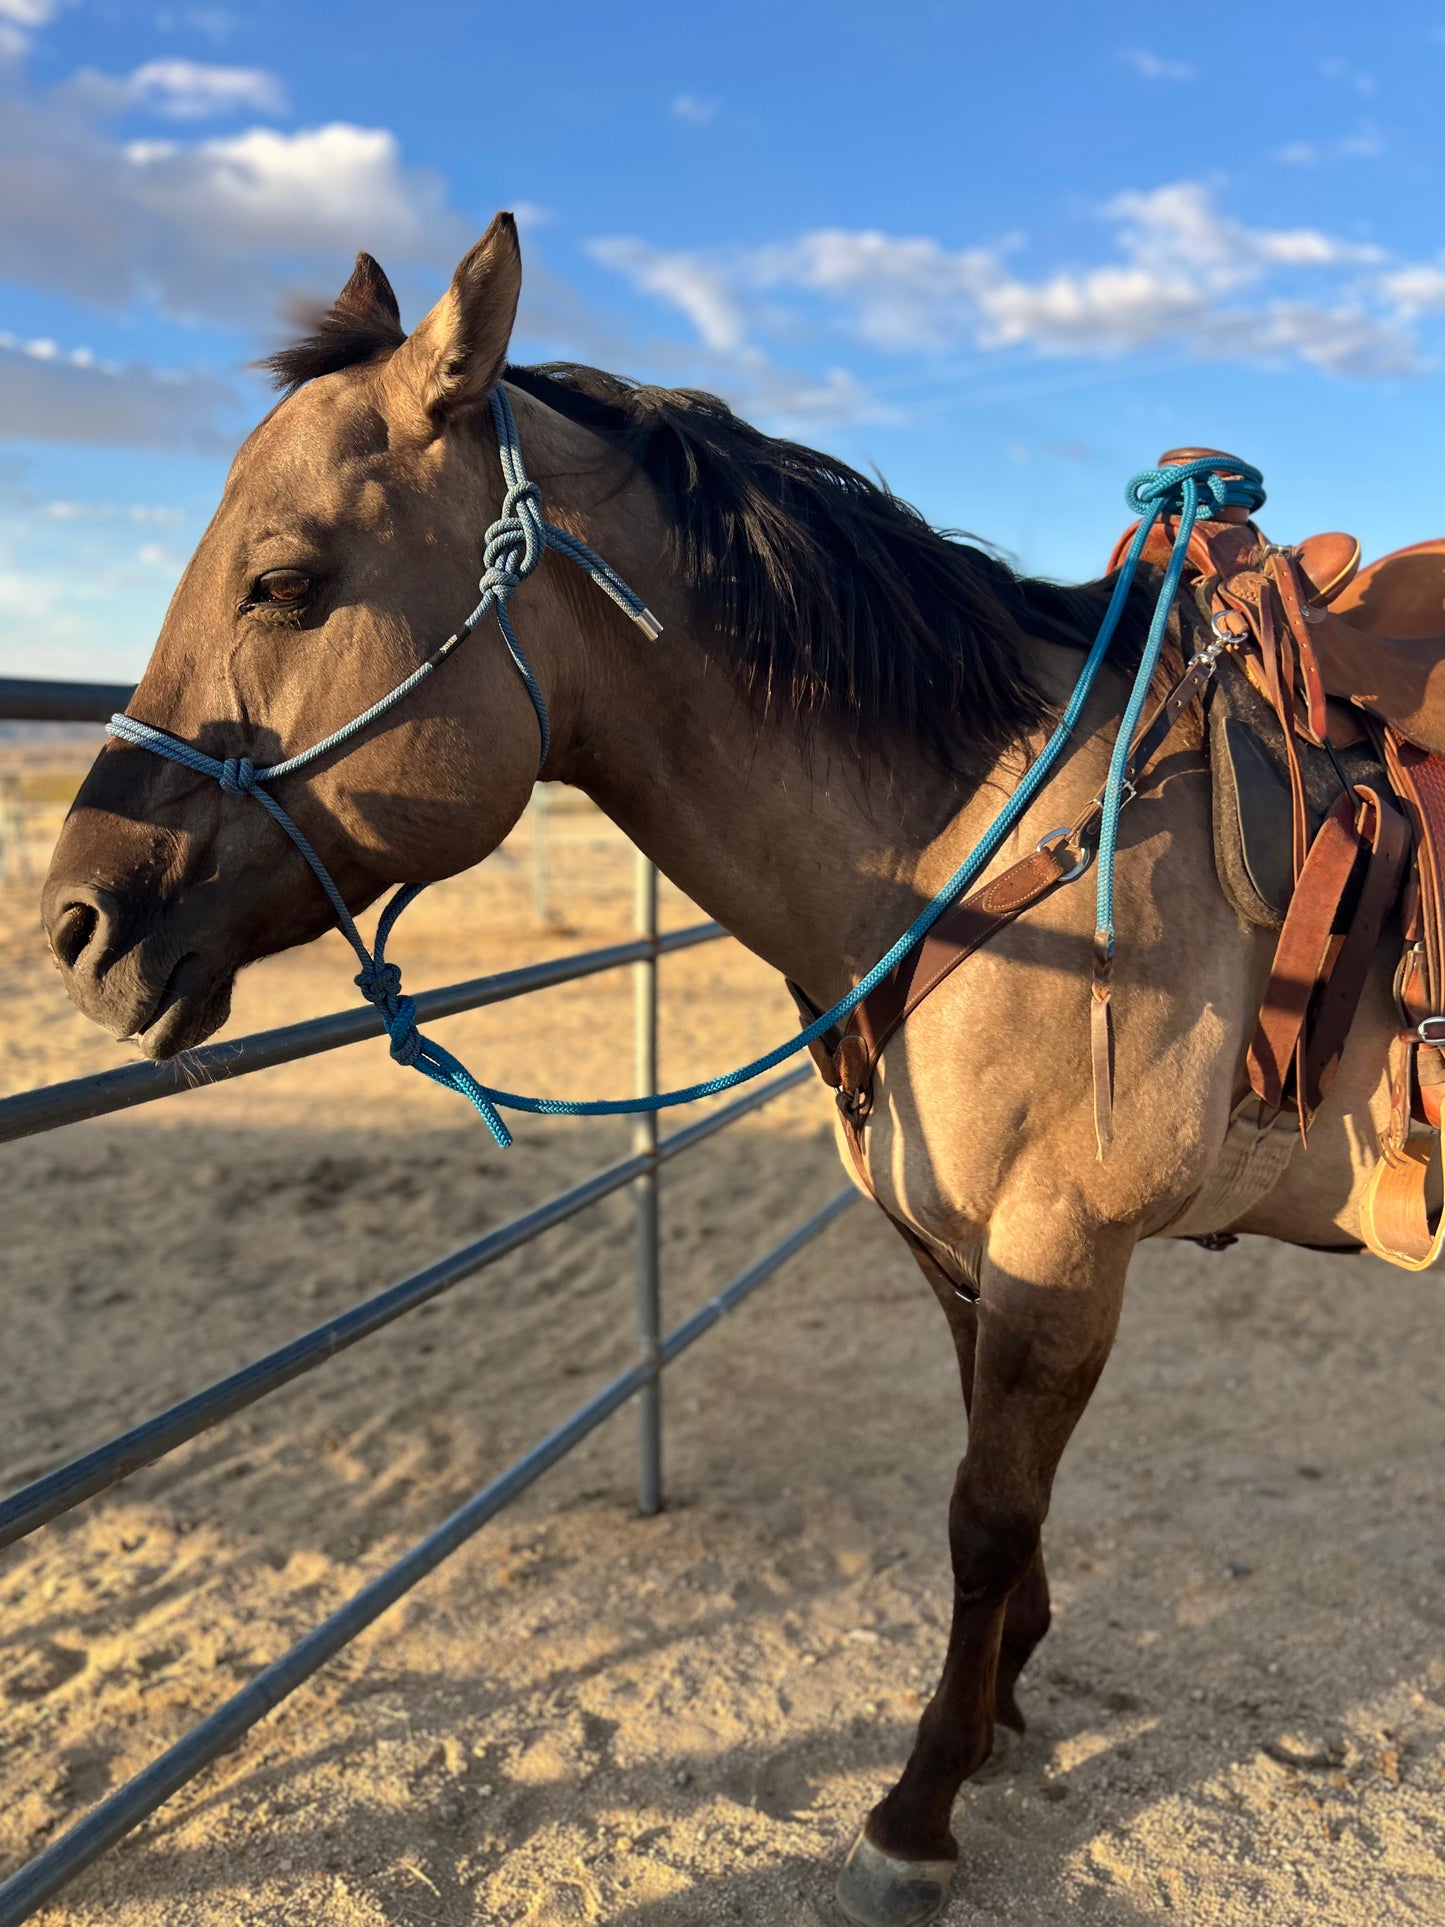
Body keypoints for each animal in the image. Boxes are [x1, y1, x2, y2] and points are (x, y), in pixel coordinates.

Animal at [39, 214, 1409, 1927]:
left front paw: (915, 1808)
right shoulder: (965, 1248)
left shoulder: (1062, 1253)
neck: (993, 848)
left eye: (285, 580)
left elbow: (983, 1513)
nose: (76, 921)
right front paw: (998, 1704)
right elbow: (993, 1489)